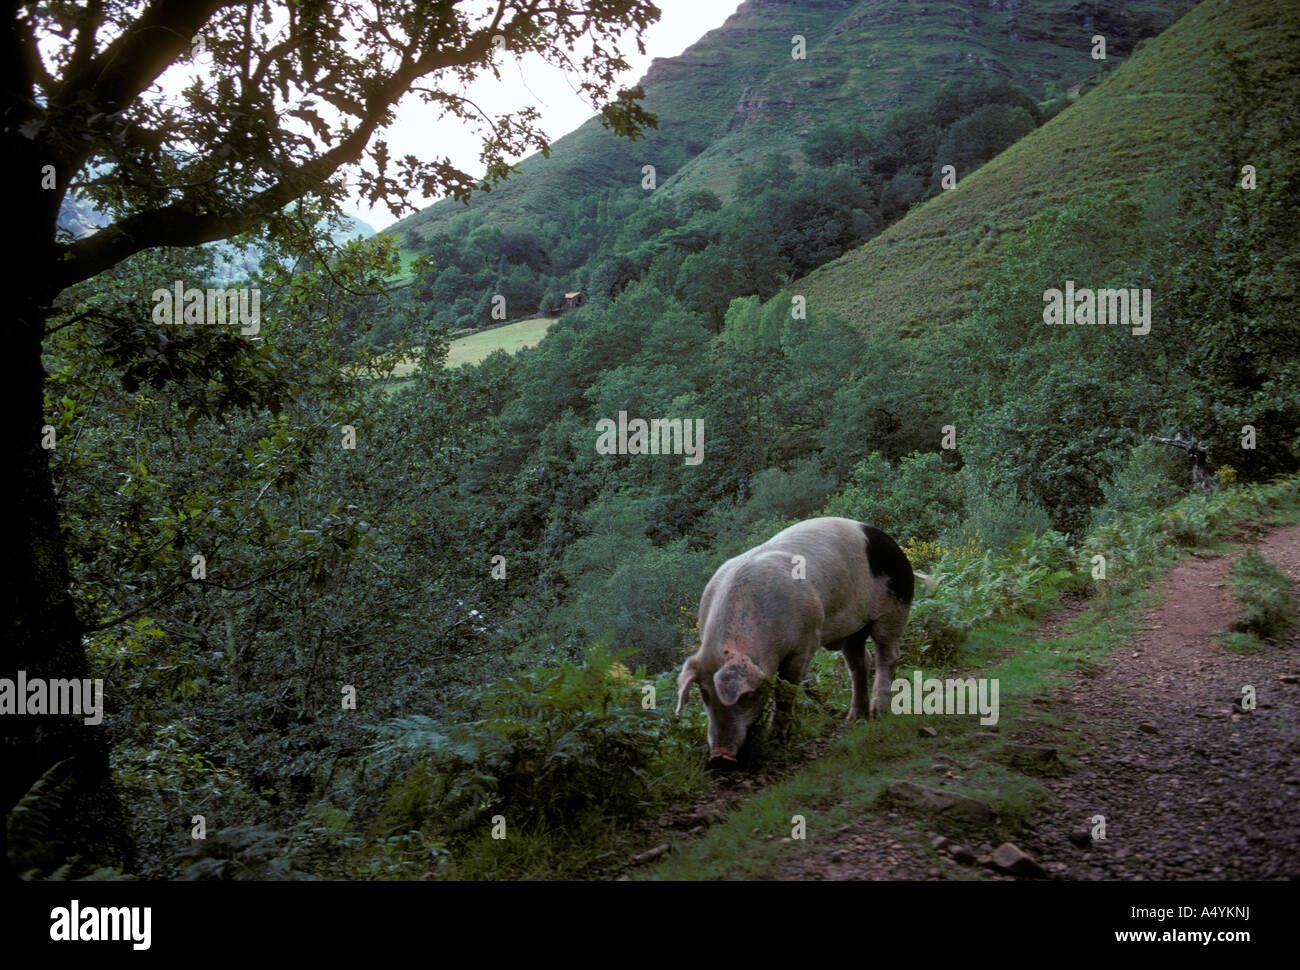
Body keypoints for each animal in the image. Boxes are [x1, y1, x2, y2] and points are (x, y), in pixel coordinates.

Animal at [670, 514, 935, 764]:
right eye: (704, 694)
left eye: (746, 696)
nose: (720, 756)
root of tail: (896, 548)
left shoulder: (805, 641)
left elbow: (786, 689)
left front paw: (775, 738)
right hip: (853, 628)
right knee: (859, 663)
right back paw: (855, 718)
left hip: (893, 608)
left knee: (887, 656)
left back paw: (878, 712)